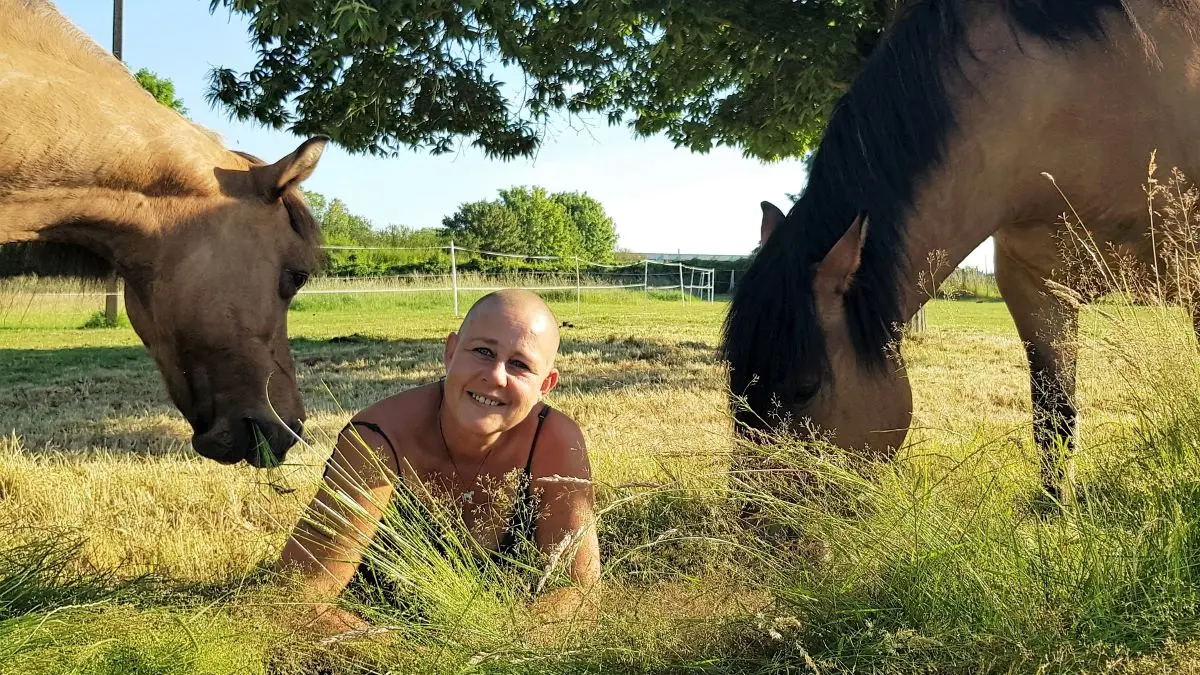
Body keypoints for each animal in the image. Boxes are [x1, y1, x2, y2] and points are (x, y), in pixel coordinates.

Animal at [715, 0, 1200, 499]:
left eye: (806, 388)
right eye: (734, 386)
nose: (757, 518)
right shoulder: (1035, 285)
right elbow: (1054, 419)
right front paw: (1054, 510)